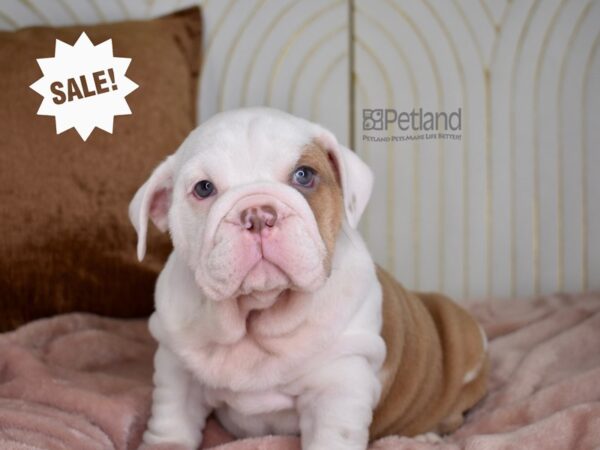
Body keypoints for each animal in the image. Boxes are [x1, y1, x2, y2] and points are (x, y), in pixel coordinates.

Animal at [130, 109, 488, 450]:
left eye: (304, 175)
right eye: (204, 188)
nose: (257, 213)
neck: (257, 316)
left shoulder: (339, 385)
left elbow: (332, 436)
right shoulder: (176, 367)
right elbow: (172, 418)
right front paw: (164, 444)